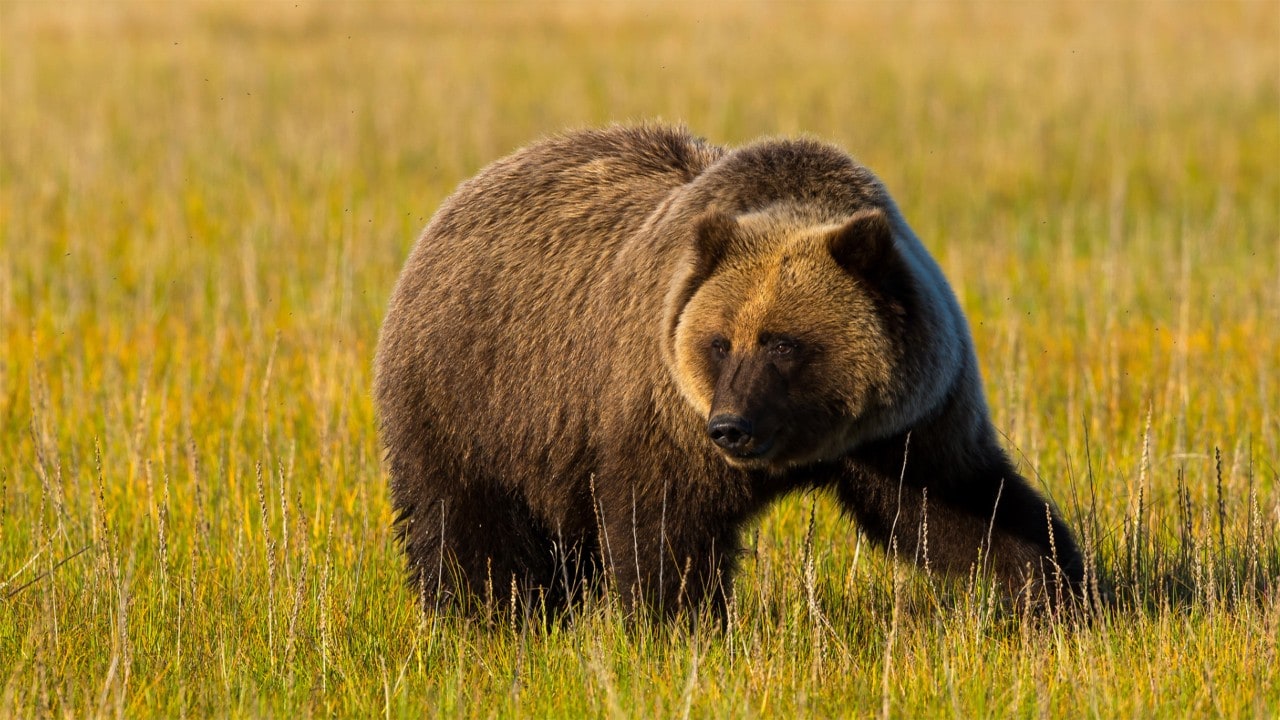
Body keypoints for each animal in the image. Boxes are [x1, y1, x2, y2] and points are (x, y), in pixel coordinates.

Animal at [373, 122, 1085, 617]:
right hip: (477, 395)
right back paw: (485, 617)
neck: (810, 446)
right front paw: (675, 626)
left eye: (783, 343)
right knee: (465, 522)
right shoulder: (663, 414)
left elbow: (963, 509)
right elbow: (666, 530)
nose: (731, 427)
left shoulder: (907, 427)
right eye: (719, 343)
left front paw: (1059, 591)